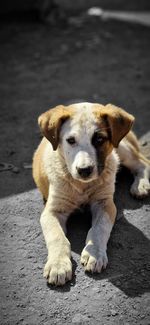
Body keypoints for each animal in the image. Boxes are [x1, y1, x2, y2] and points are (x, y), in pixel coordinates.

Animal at [32, 102, 150, 284]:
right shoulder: (52, 211)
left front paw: (94, 253)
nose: (84, 170)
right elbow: (57, 237)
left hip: (121, 149)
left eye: (99, 139)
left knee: (142, 162)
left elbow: (99, 229)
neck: (82, 186)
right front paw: (58, 265)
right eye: (71, 141)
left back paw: (141, 185)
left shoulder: (105, 204)